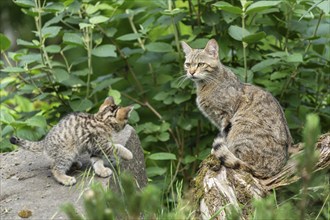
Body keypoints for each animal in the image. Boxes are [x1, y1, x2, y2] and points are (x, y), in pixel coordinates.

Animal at [182, 38, 292, 178]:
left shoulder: (226, 114)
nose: (191, 72)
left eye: (201, 64)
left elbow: (224, 135)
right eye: (188, 64)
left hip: (240, 126)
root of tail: (274, 168)